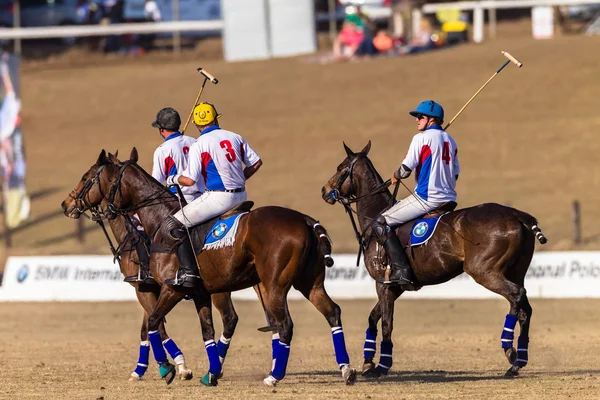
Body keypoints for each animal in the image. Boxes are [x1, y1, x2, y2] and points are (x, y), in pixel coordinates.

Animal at [62, 148, 356, 388]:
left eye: (87, 177)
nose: (66, 204)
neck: (154, 222)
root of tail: (305, 220)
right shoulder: (198, 293)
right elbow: (205, 332)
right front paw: (210, 372)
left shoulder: (163, 288)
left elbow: (154, 324)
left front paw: (170, 368)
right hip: (309, 283)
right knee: (331, 313)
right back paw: (346, 370)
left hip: (274, 285)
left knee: (283, 324)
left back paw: (274, 376)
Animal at [324, 143, 548, 378]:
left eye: (340, 168)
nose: (324, 190)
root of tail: (516, 214)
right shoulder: (395, 286)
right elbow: (372, 318)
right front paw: (368, 363)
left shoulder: (383, 284)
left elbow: (386, 324)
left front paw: (382, 366)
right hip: (516, 271)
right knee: (525, 309)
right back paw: (517, 362)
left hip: (484, 271)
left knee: (516, 296)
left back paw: (509, 350)